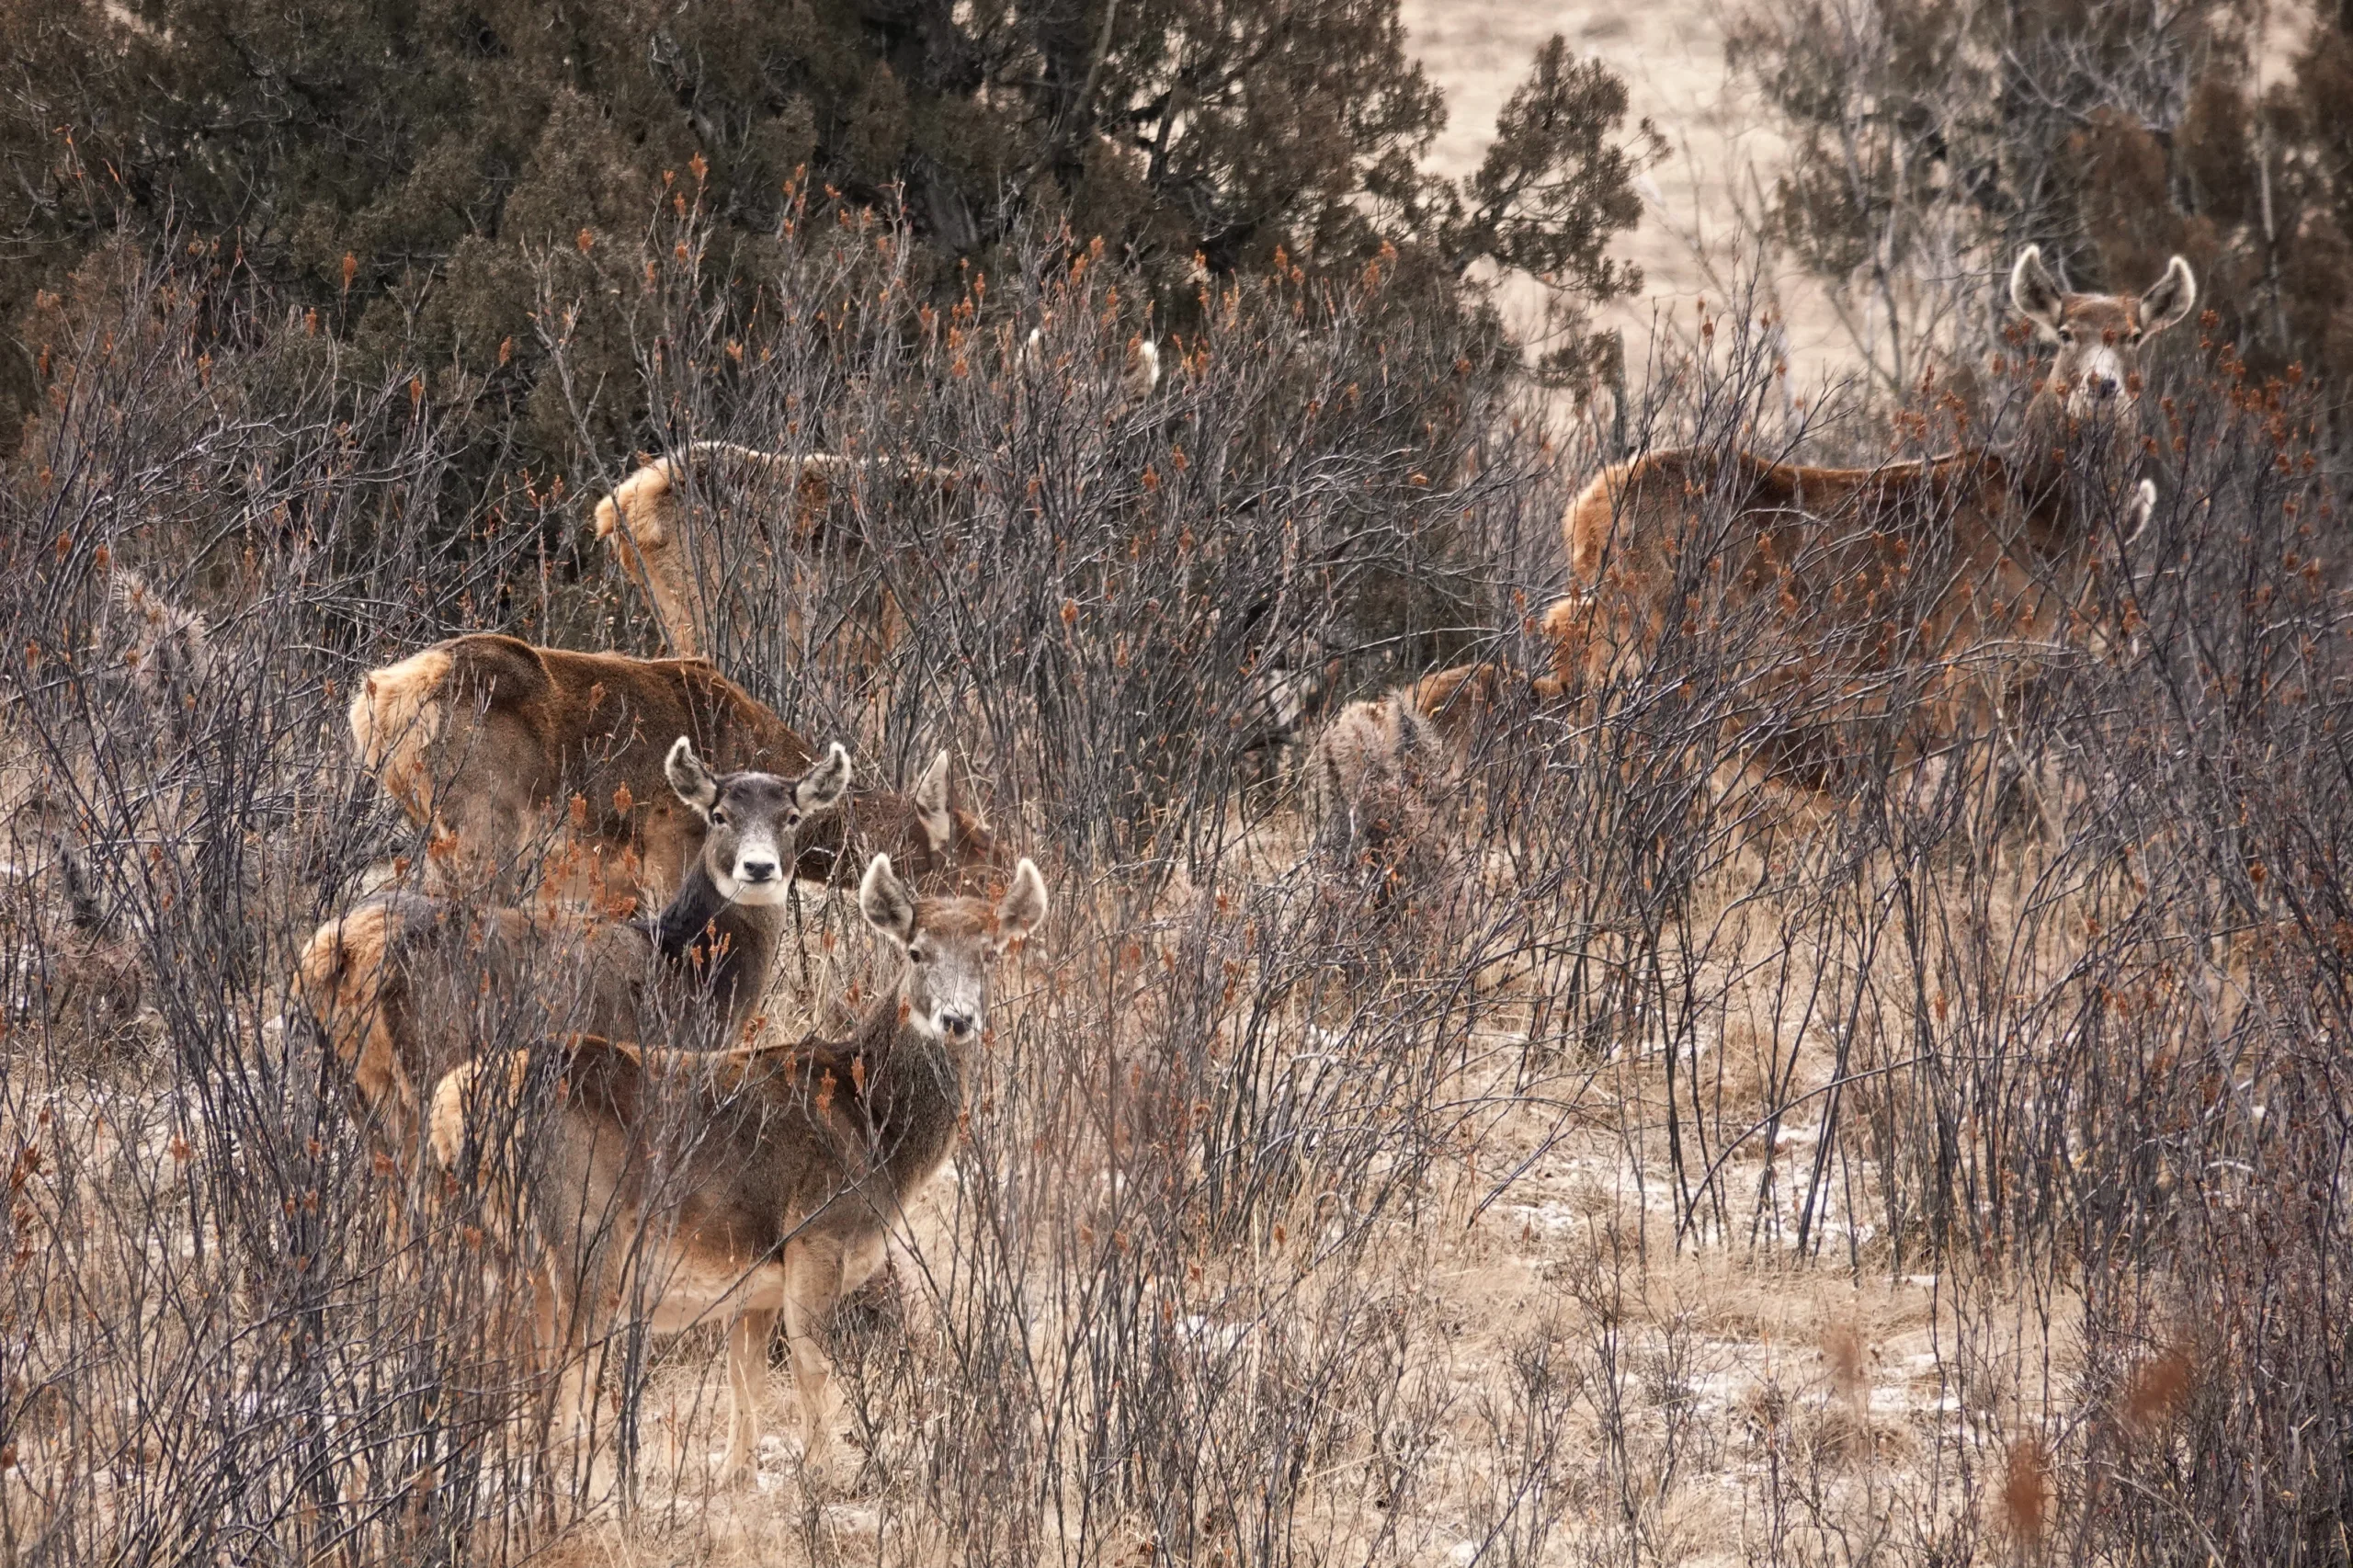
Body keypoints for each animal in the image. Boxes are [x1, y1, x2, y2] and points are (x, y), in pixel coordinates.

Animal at [297, 737, 852, 1165]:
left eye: (792, 817)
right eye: (719, 815)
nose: (758, 867)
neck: (683, 967)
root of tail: (337, 949)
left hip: (353, 1082)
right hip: (428, 1059)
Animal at [427, 850, 1050, 1482]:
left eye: (991, 952)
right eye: (917, 951)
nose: (957, 1019)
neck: (876, 1127)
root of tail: (449, 1109)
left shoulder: (755, 1287)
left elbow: (744, 1381)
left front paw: (736, 1473)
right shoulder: (817, 1233)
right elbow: (811, 1368)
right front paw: (821, 1474)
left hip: (494, 1252)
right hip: (580, 1233)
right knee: (569, 1372)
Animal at [1540, 246, 2191, 786]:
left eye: (2134, 335)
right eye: (2064, 333)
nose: (2102, 385)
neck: (2044, 517)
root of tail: (1584, 509)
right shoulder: (1974, 657)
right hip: (1645, 626)